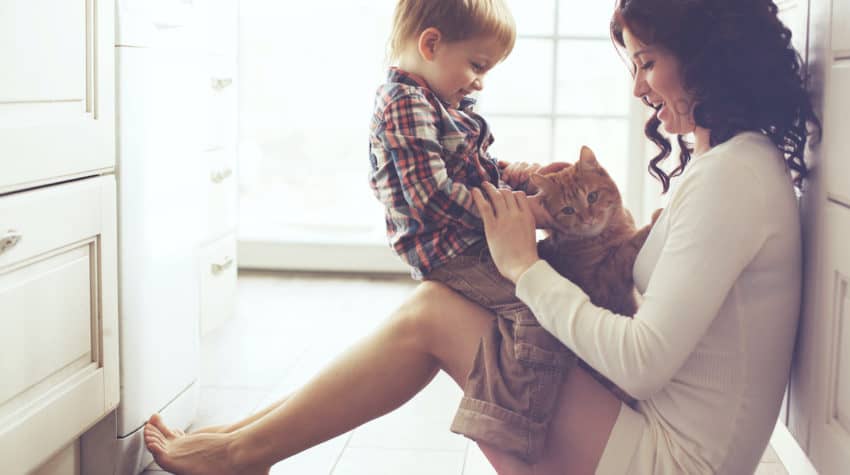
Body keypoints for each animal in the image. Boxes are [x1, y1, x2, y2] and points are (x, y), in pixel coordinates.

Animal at [528, 145, 660, 406]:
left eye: (592, 196)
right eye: (568, 210)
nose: (588, 218)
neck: (607, 234)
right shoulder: (606, 281)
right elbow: (629, 246)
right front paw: (653, 220)